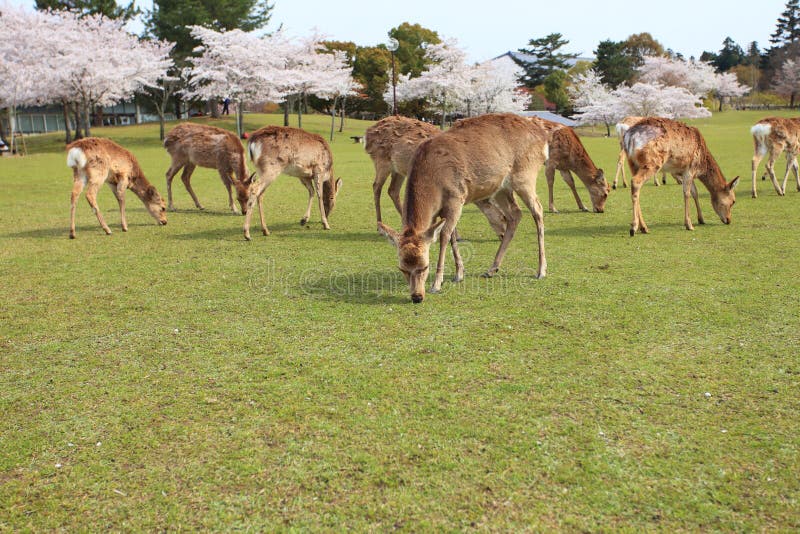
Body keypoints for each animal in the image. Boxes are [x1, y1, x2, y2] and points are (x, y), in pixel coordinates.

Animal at [364, 117, 506, 239]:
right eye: (504, 217)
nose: (503, 235)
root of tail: (367, 134)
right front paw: (456, 236)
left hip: (398, 170)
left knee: (392, 190)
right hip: (382, 161)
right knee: (376, 187)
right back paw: (380, 227)